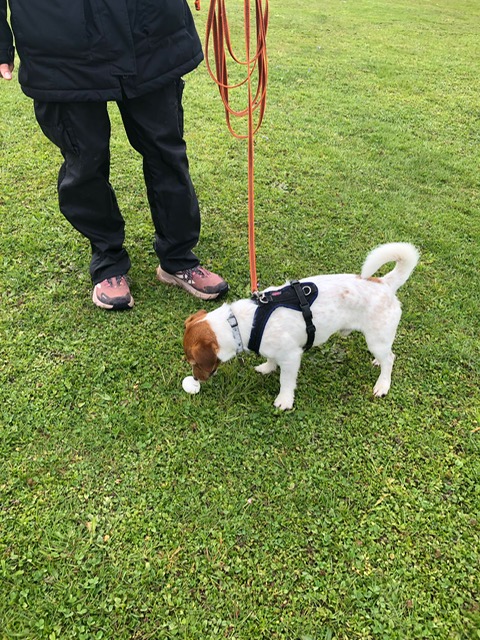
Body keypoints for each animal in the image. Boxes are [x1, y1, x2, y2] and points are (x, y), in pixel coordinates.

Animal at [183, 242, 419, 410]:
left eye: (194, 362)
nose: (195, 379)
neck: (241, 324)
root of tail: (385, 283)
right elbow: (271, 360)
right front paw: (267, 368)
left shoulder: (291, 357)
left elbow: (286, 382)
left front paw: (284, 401)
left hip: (376, 339)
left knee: (390, 359)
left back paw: (382, 385)